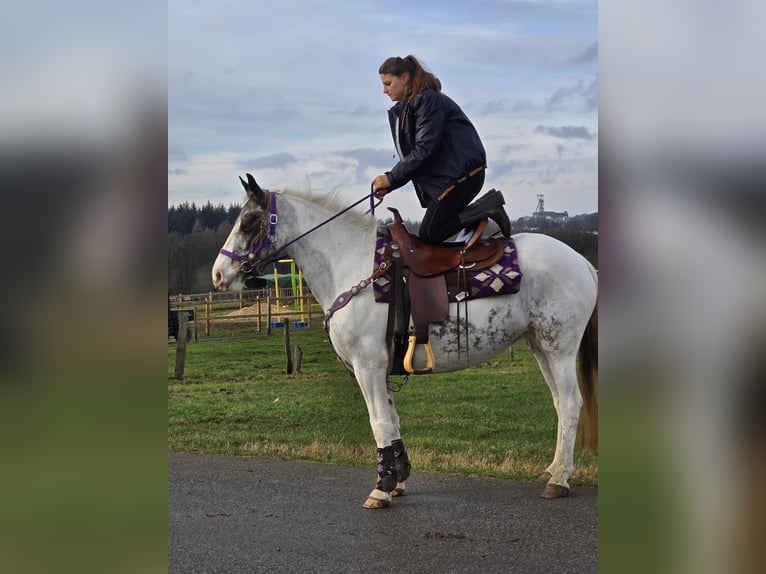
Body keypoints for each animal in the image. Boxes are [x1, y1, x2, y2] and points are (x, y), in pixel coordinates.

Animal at [212, 173, 600, 510]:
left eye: (250, 220)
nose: (218, 274)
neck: (353, 266)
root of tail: (583, 262)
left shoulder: (368, 367)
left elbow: (379, 422)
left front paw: (381, 489)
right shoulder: (380, 369)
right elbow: (392, 421)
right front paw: (397, 478)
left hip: (560, 347)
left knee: (570, 403)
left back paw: (559, 480)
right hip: (540, 347)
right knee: (559, 403)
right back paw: (554, 469)